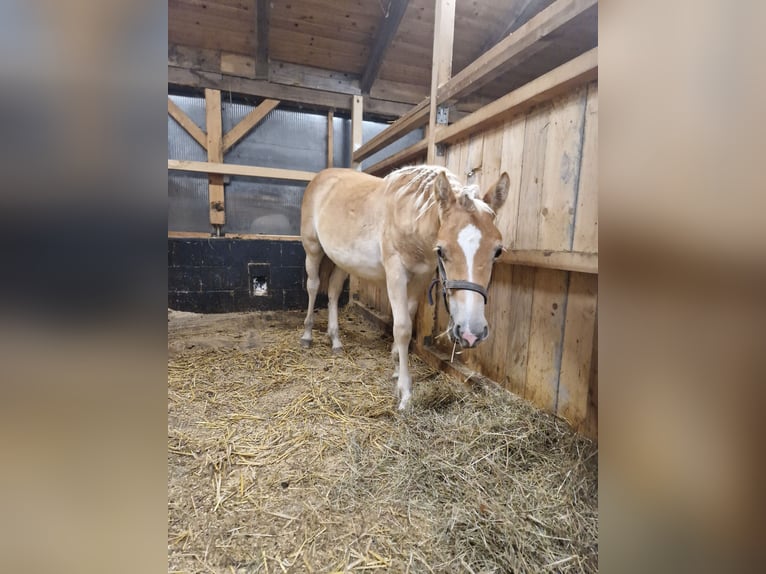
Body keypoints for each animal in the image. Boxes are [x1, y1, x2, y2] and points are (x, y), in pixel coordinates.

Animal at [300, 164, 510, 412]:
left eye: (497, 251)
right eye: (441, 250)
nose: (471, 333)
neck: (410, 216)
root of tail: (321, 177)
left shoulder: (420, 277)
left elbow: (407, 319)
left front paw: (395, 368)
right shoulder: (396, 273)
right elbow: (402, 328)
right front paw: (405, 393)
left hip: (343, 260)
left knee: (332, 292)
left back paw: (335, 340)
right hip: (312, 249)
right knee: (313, 287)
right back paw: (307, 335)